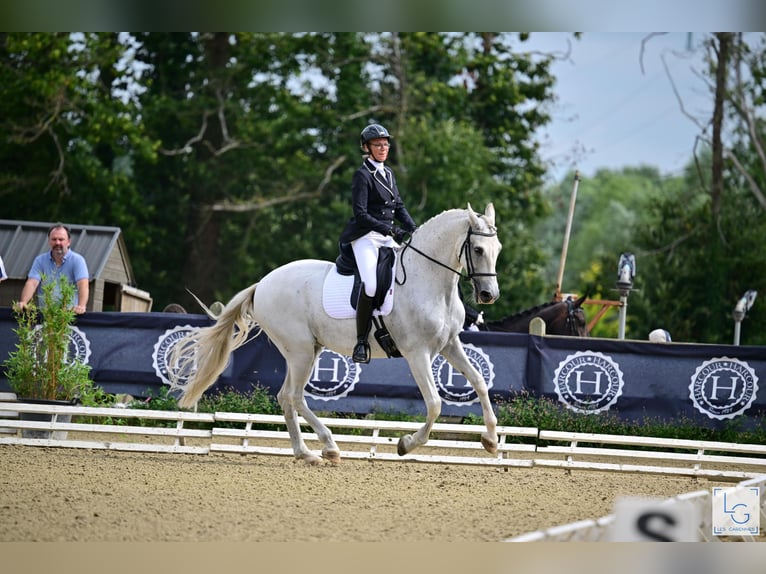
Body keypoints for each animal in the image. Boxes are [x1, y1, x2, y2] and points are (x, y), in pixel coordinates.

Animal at [169, 205, 504, 466]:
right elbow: (434, 404)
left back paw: (306, 453)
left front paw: (490, 440)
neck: (430, 281)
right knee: (294, 396)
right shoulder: (417, 353)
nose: (489, 295)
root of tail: (262, 283)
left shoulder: (449, 345)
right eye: (477, 249)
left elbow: (479, 382)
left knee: (286, 397)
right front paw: (405, 444)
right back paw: (329, 446)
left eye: (497, 249)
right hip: (301, 350)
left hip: (307, 350)